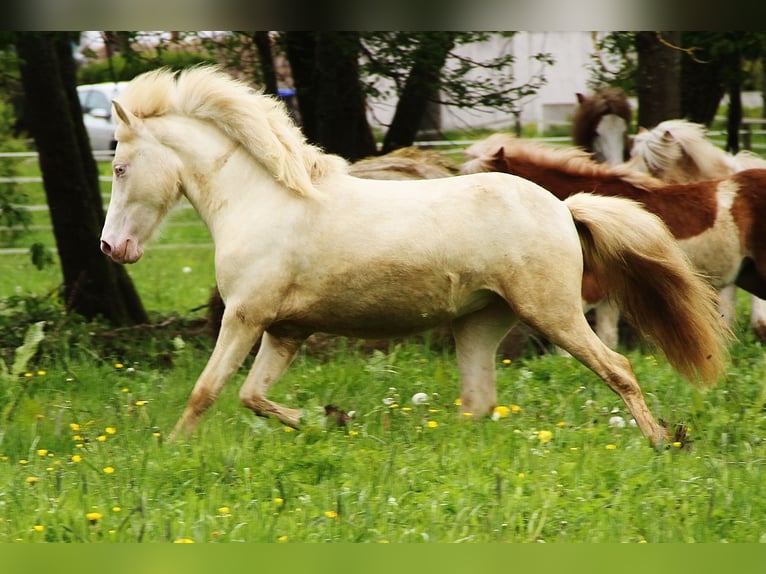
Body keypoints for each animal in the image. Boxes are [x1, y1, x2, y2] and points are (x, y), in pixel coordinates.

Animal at [102, 65, 732, 448]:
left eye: (120, 167)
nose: (112, 247)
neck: (264, 200)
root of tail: (562, 206)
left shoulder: (245, 318)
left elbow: (206, 392)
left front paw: (173, 452)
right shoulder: (285, 331)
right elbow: (253, 396)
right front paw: (326, 421)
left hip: (552, 313)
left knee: (617, 368)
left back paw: (660, 441)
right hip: (480, 323)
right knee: (477, 402)